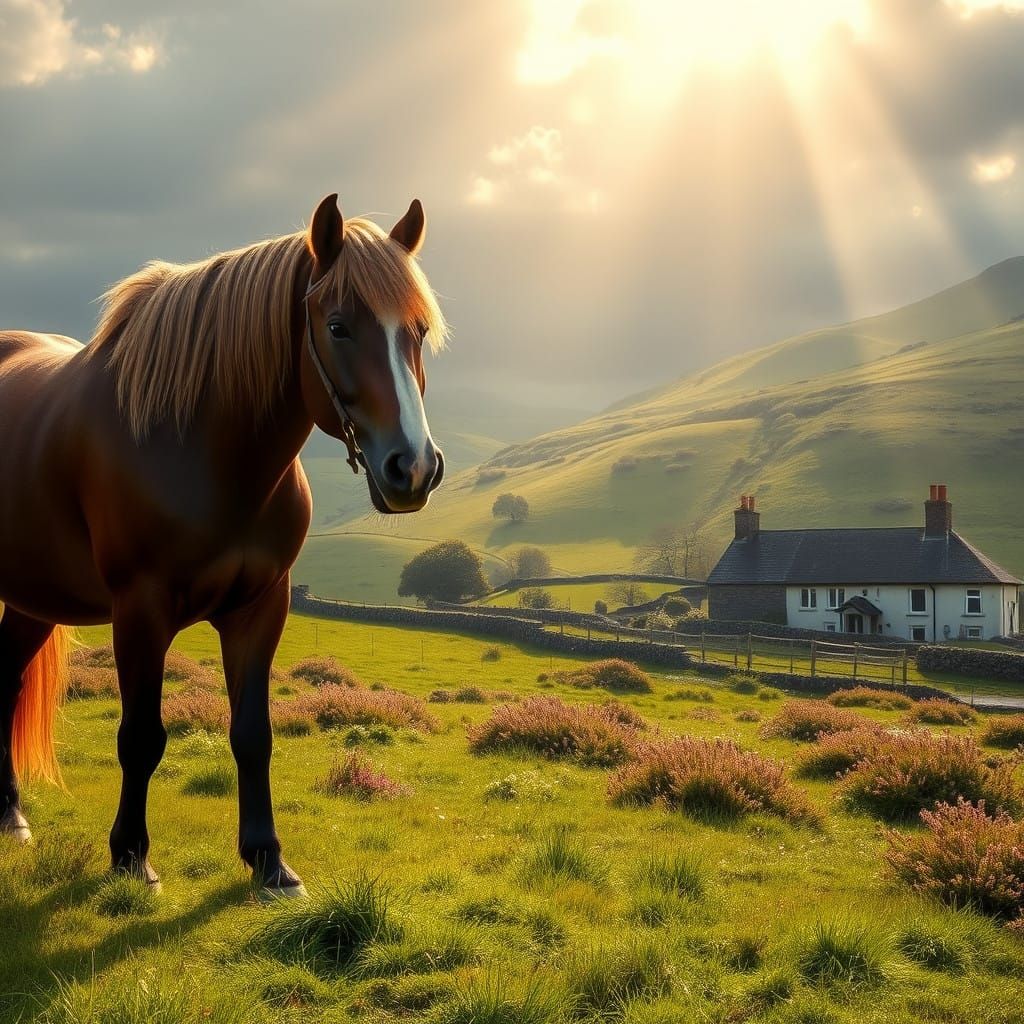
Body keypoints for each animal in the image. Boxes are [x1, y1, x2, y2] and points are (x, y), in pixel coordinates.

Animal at [0, 193, 447, 898]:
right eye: (339, 326)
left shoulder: (260, 609)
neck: (207, 451)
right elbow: (141, 736)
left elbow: (252, 734)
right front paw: (131, 857)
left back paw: (11, 816)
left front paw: (268, 860)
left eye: (419, 332)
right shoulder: (141, 611)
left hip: (31, 600)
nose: (414, 469)